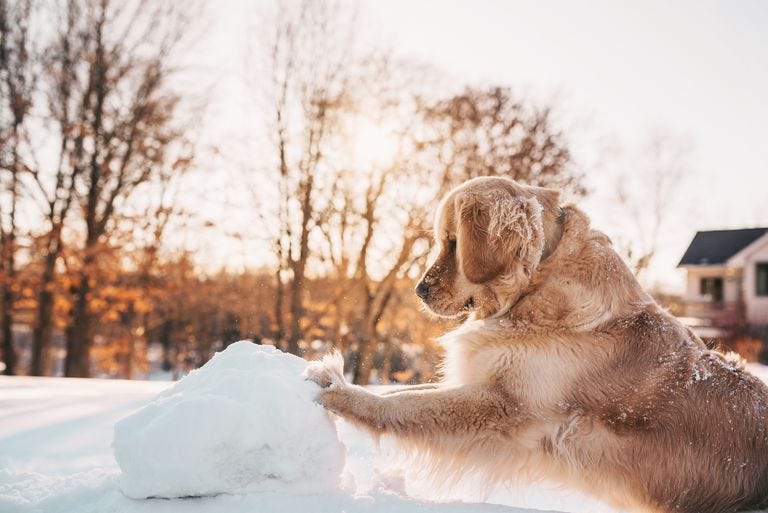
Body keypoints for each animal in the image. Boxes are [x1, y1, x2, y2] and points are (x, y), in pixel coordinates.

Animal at [304, 177, 768, 512]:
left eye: (454, 242)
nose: (419, 290)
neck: (539, 282)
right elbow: (405, 393)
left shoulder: (507, 407)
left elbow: (404, 405)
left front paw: (340, 391)